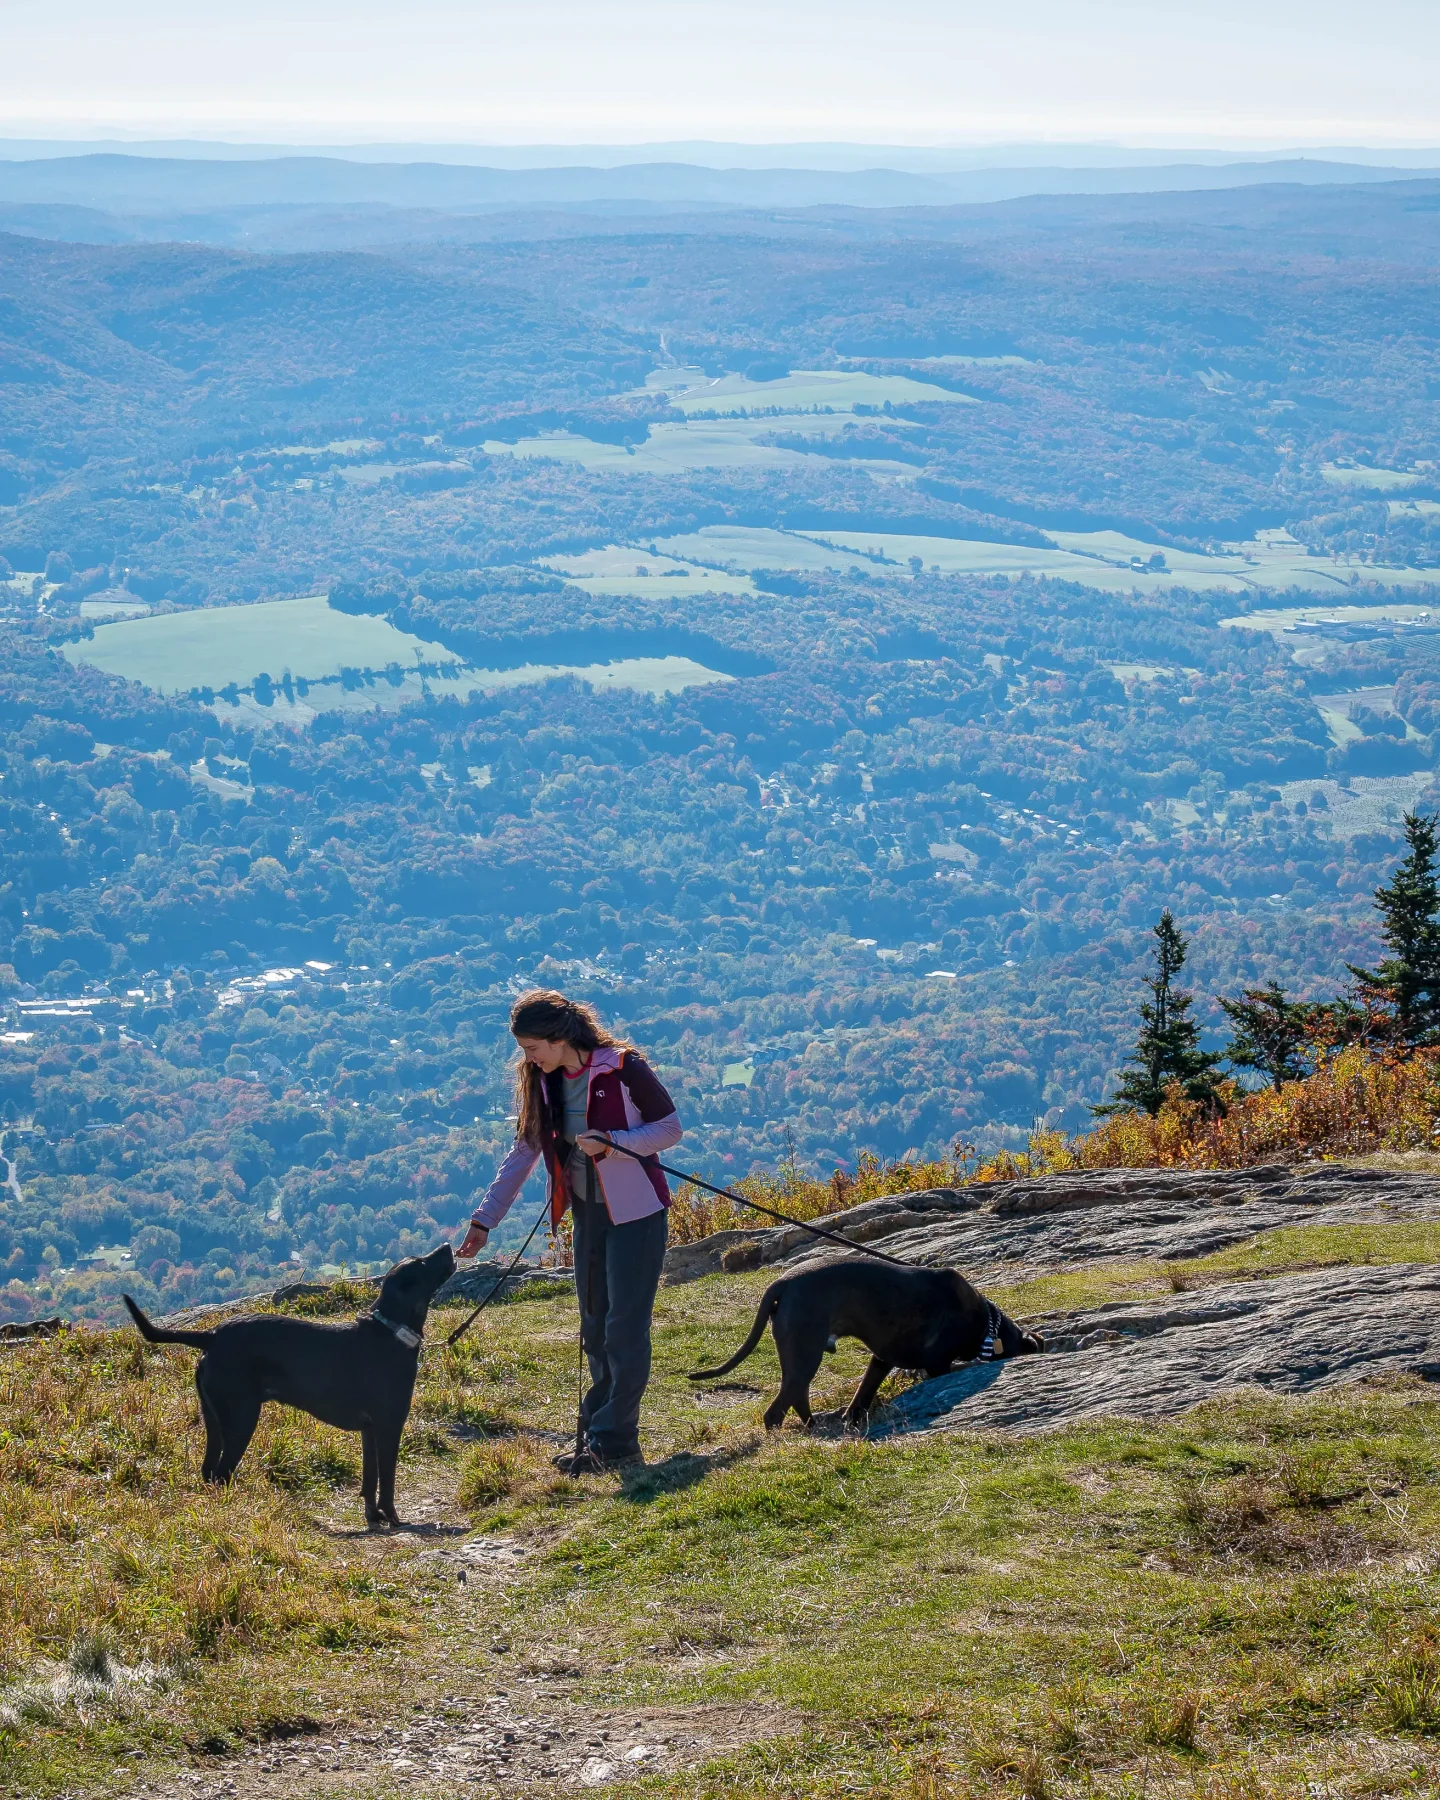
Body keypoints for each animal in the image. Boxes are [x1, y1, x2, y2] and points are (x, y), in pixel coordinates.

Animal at [123, 1245, 453, 1526]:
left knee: (208, 1472)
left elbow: (370, 1481)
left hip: (214, 1420)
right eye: (423, 1263)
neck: (391, 1331)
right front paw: (394, 1518)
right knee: (221, 1473)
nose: (449, 1246)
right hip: (241, 1419)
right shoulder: (389, 1427)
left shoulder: (369, 1431)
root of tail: (212, 1335)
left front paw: (373, 1516)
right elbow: (388, 1481)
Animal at [691, 1260, 1044, 1425]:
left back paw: (814, 1425)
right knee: (776, 1411)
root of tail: (783, 1282)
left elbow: (862, 1395)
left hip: (798, 1358)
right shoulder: (937, 1365)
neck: (985, 1324)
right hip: (805, 1354)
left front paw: (851, 1419)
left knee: (797, 1396)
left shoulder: (881, 1360)